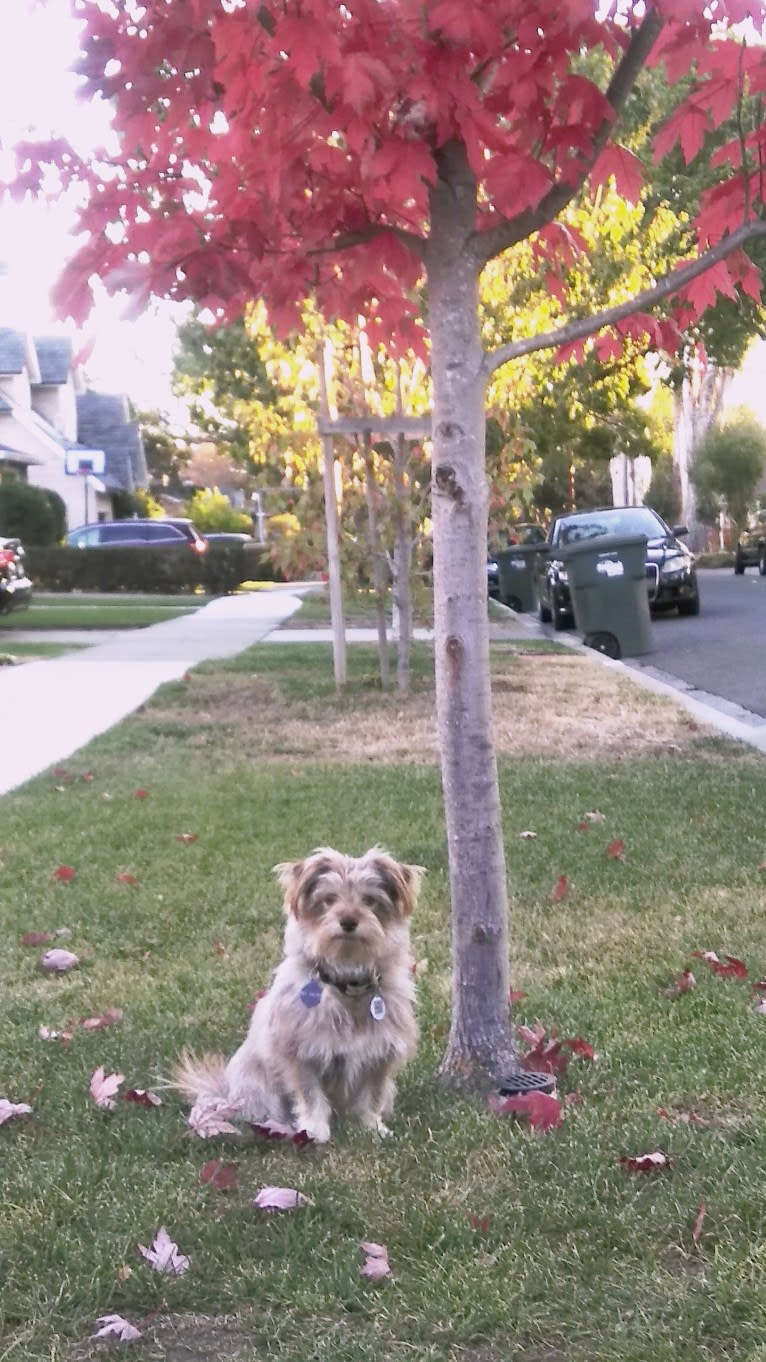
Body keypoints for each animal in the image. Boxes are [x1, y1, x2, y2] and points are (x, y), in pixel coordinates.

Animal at [172, 844, 419, 1144]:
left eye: (370, 900)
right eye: (329, 899)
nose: (348, 921)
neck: (345, 981)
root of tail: (226, 1094)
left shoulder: (380, 1055)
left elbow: (371, 1096)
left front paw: (372, 1127)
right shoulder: (300, 1053)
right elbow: (310, 1097)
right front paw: (315, 1131)